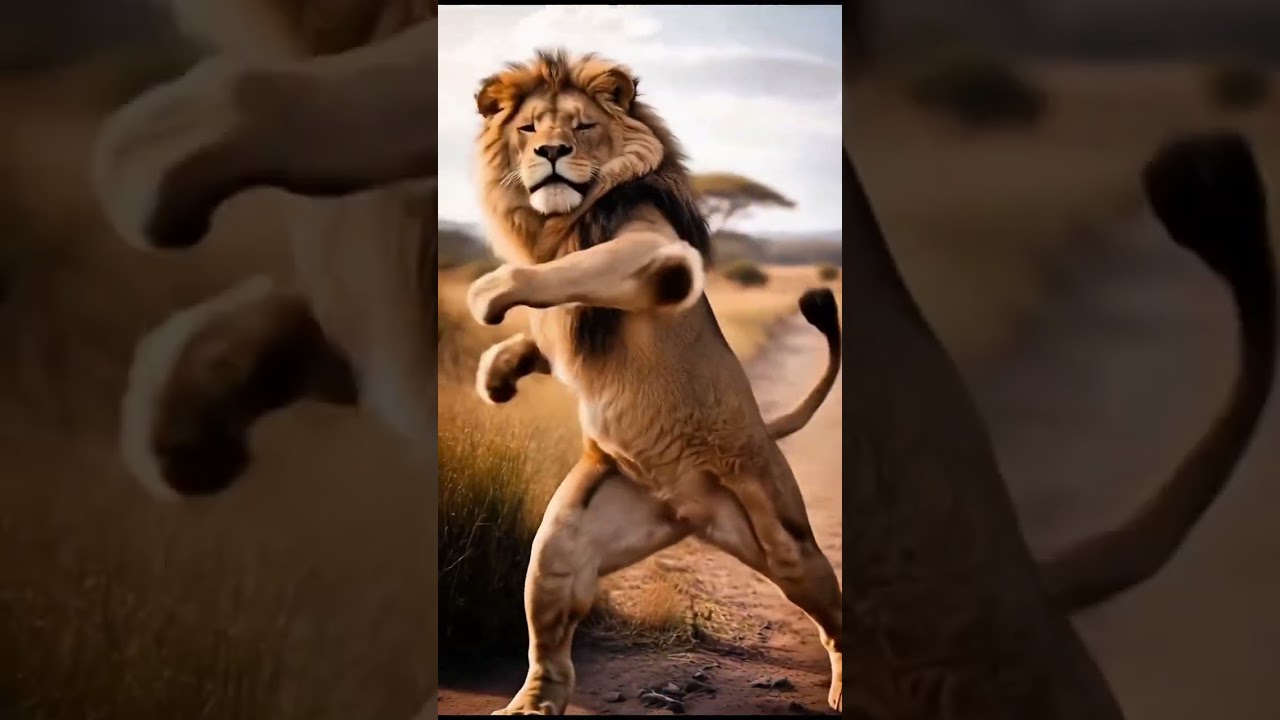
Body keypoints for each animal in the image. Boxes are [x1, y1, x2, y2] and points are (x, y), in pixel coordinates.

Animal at [465, 50, 845, 715]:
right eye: (529, 129)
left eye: (582, 127)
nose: (552, 153)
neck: (554, 222)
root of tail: (689, 511)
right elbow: (542, 329)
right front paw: (498, 374)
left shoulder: (660, 257)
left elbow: (563, 273)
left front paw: (490, 295)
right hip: (582, 529)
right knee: (552, 611)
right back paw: (529, 705)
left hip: (783, 534)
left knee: (827, 603)